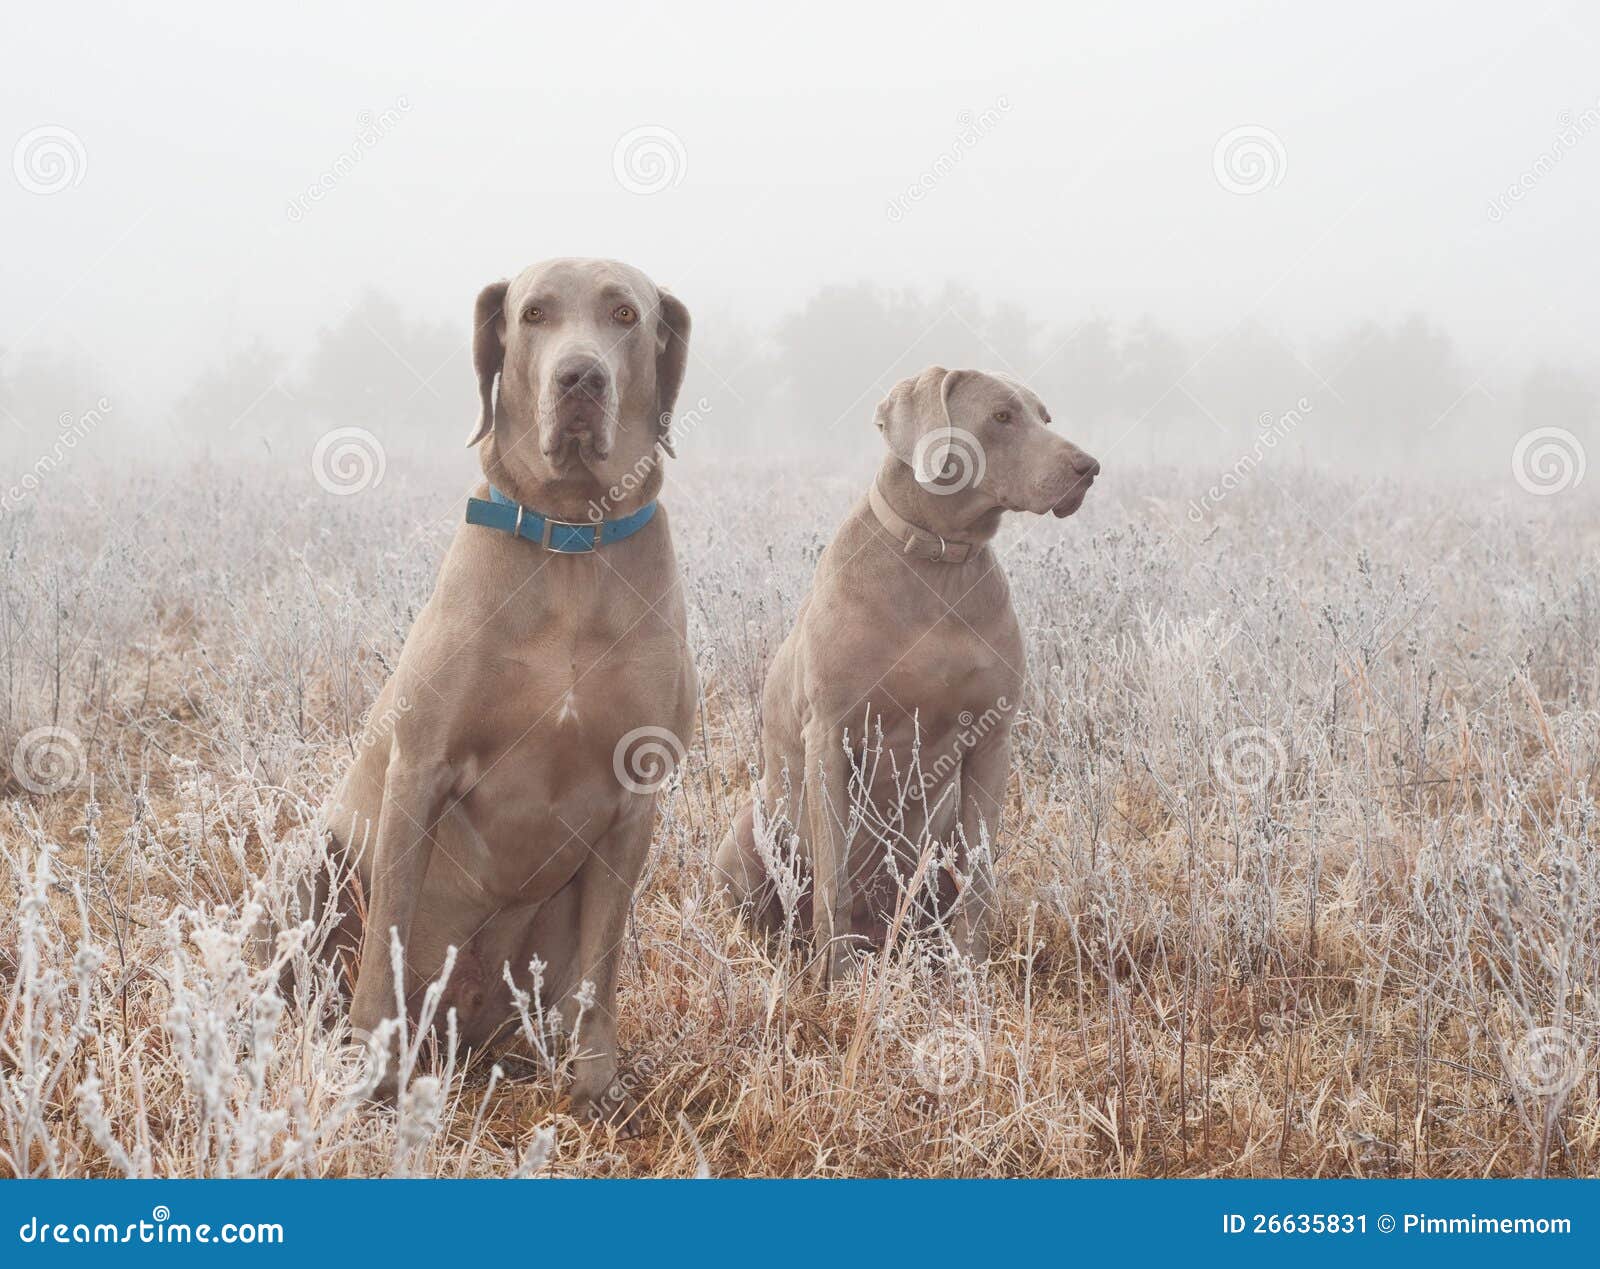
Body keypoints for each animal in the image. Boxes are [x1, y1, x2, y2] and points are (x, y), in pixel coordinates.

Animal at [315, 254, 697, 1120]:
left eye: (626, 314)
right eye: (534, 314)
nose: (580, 376)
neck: (572, 541)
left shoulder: (636, 796)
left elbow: (603, 966)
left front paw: (595, 1087)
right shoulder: (418, 767)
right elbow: (386, 945)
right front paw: (374, 1078)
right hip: (321, 856)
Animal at [716, 361, 1100, 972]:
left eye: (1045, 417)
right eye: (1001, 416)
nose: (1088, 468)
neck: (939, 557)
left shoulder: (993, 740)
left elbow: (979, 878)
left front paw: (971, 973)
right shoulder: (829, 736)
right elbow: (832, 882)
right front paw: (832, 980)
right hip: (746, 830)